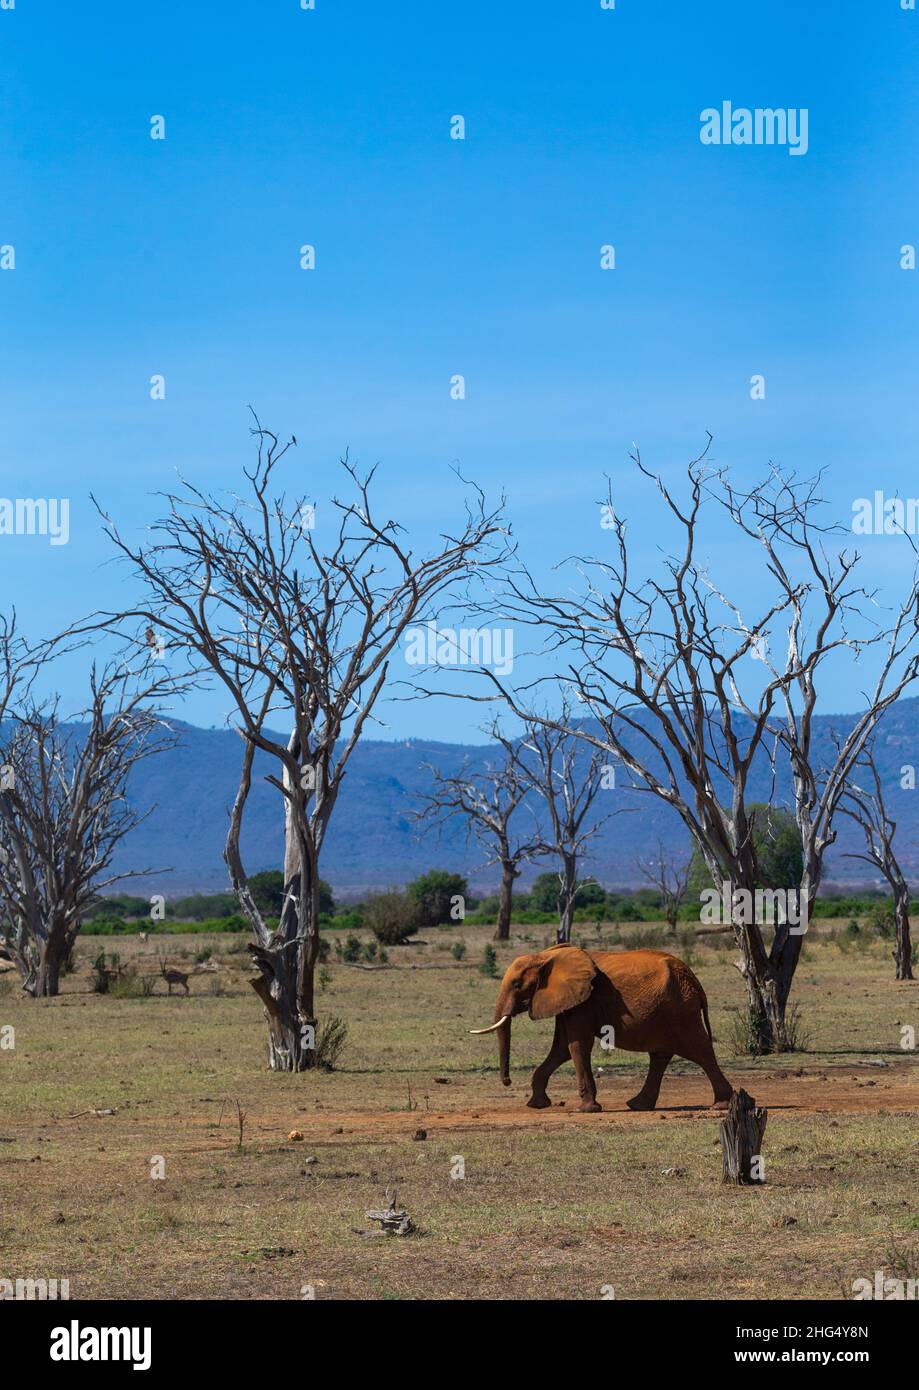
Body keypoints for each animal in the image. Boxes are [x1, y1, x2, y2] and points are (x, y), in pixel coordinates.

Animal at [472, 939, 728, 1112]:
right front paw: (537, 1105)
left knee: (700, 1050)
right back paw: (638, 1105)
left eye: (516, 984)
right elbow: (562, 1049)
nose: (507, 1082)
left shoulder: (584, 1001)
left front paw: (585, 1109)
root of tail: (696, 982)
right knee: (661, 1056)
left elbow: (577, 1045)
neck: (544, 956)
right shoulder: (569, 1002)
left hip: (681, 1009)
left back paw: (722, 1105)